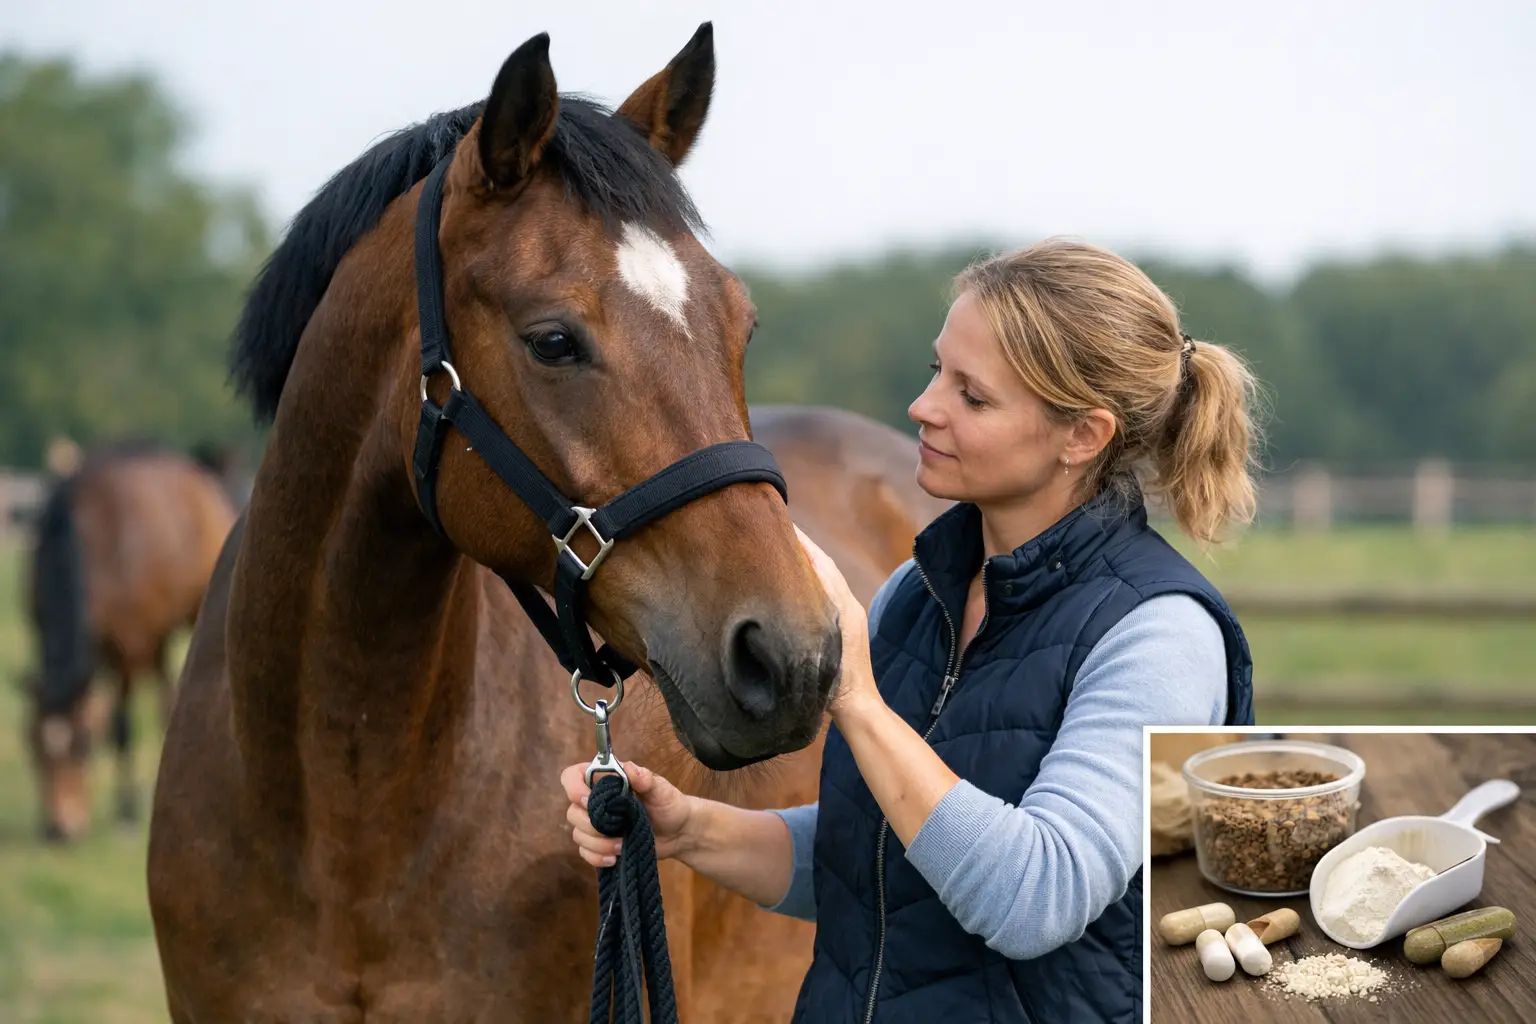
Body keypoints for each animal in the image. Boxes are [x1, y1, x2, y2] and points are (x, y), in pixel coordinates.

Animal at [22, 441, 237, 842]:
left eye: (84, 745)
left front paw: (126, 811)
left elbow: (120, 727)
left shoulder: (129, 648)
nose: (59, 830)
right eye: (33, 746)